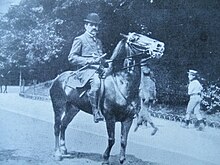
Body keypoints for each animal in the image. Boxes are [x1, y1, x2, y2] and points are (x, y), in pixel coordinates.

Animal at [49, 31, 163, 164]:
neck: (122, 84)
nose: (160, 46)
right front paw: (105, 159)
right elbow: (112, 139)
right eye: (135, 38)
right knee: (57, 127)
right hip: (58, 107)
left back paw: (63, 149)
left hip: (73, 109)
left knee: (64, 125)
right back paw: (58, 153)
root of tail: (57, 78)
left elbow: (124, 140)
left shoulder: (128, 119)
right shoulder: (110, 117)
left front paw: (122, 159)